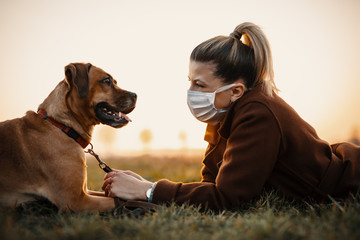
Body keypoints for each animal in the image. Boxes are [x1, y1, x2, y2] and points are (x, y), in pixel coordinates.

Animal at [0, 62, 136, 213]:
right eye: (107, 81)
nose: (135, 95)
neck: (62, 126)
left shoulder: (86, 191)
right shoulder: (76, 201)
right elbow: (120, 201)